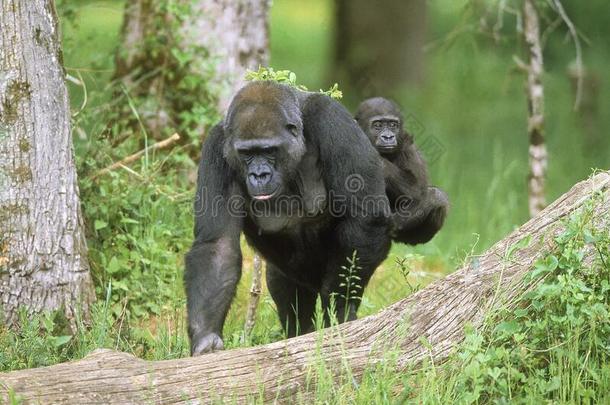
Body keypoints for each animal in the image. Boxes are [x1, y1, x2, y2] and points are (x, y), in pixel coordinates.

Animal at [183, 81, 390, 354]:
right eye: (246, 153)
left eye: (269, 150)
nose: (259, 174)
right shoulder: (217, 145)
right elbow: (218, 246)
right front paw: (205, 337)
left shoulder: (330, 116)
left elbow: (368, 215)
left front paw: (339, 306)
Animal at [352, 96, 446, 245]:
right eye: (377, 125)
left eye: (393, 125)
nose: (388, 137)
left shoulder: (408, 146)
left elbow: (416, 187)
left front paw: (378, 160)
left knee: (436, 196)